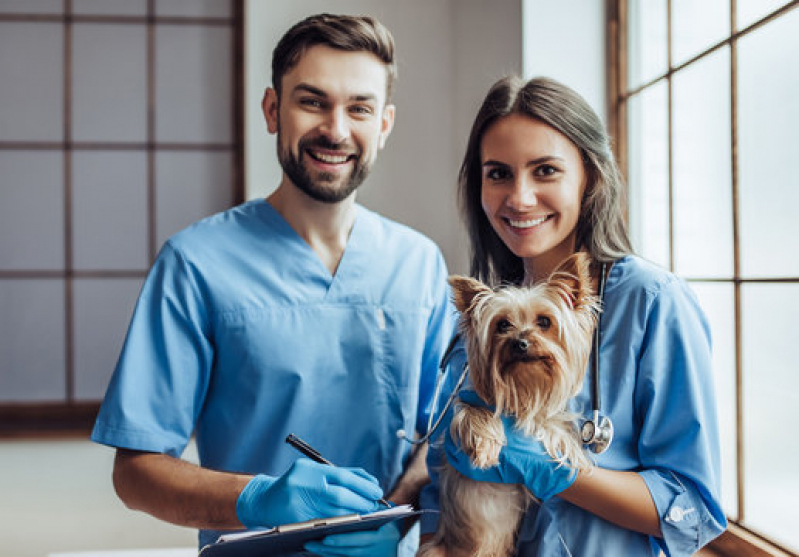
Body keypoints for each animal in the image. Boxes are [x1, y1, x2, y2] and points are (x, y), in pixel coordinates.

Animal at [418, 253, 600, 556]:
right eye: (502, 325)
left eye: (544, 321)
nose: (521, 343)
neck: (523, 390)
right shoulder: (468, 404)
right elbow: (471, 414)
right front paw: (486, 445)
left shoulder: (547, 414)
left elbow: (553, 428)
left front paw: (571, 453)